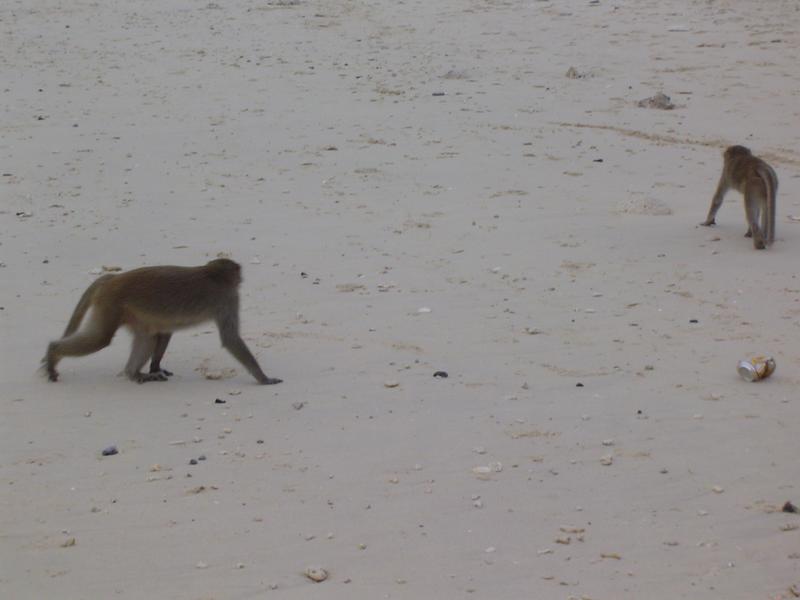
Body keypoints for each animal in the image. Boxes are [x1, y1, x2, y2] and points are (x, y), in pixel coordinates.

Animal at [42, 259, 282, 385]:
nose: (241, 277)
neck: (211, 274)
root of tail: (112, 279)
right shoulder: (228, 298)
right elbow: (230, 338)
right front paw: (263, 378)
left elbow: (164, 333)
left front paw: (155, 365)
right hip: (111, 303)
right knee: (101, 338)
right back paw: (53, 352)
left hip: (125, 310)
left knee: (146, 338)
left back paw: (134, 373)